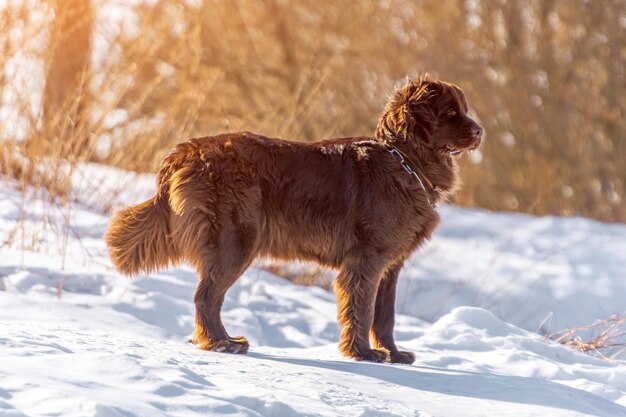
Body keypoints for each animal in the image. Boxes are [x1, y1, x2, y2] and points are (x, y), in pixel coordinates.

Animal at [105, 76, 480, 362]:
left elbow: (384, 317)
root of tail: (186, 151)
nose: (480, 131)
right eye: (450, 112)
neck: (404, 159)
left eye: (463, 108)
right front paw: (362, 353)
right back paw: (223, 343)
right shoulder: (366, 260)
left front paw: (394, 354)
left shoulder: (390, 265)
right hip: (235, 243)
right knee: (206, 296)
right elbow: (361, 310)